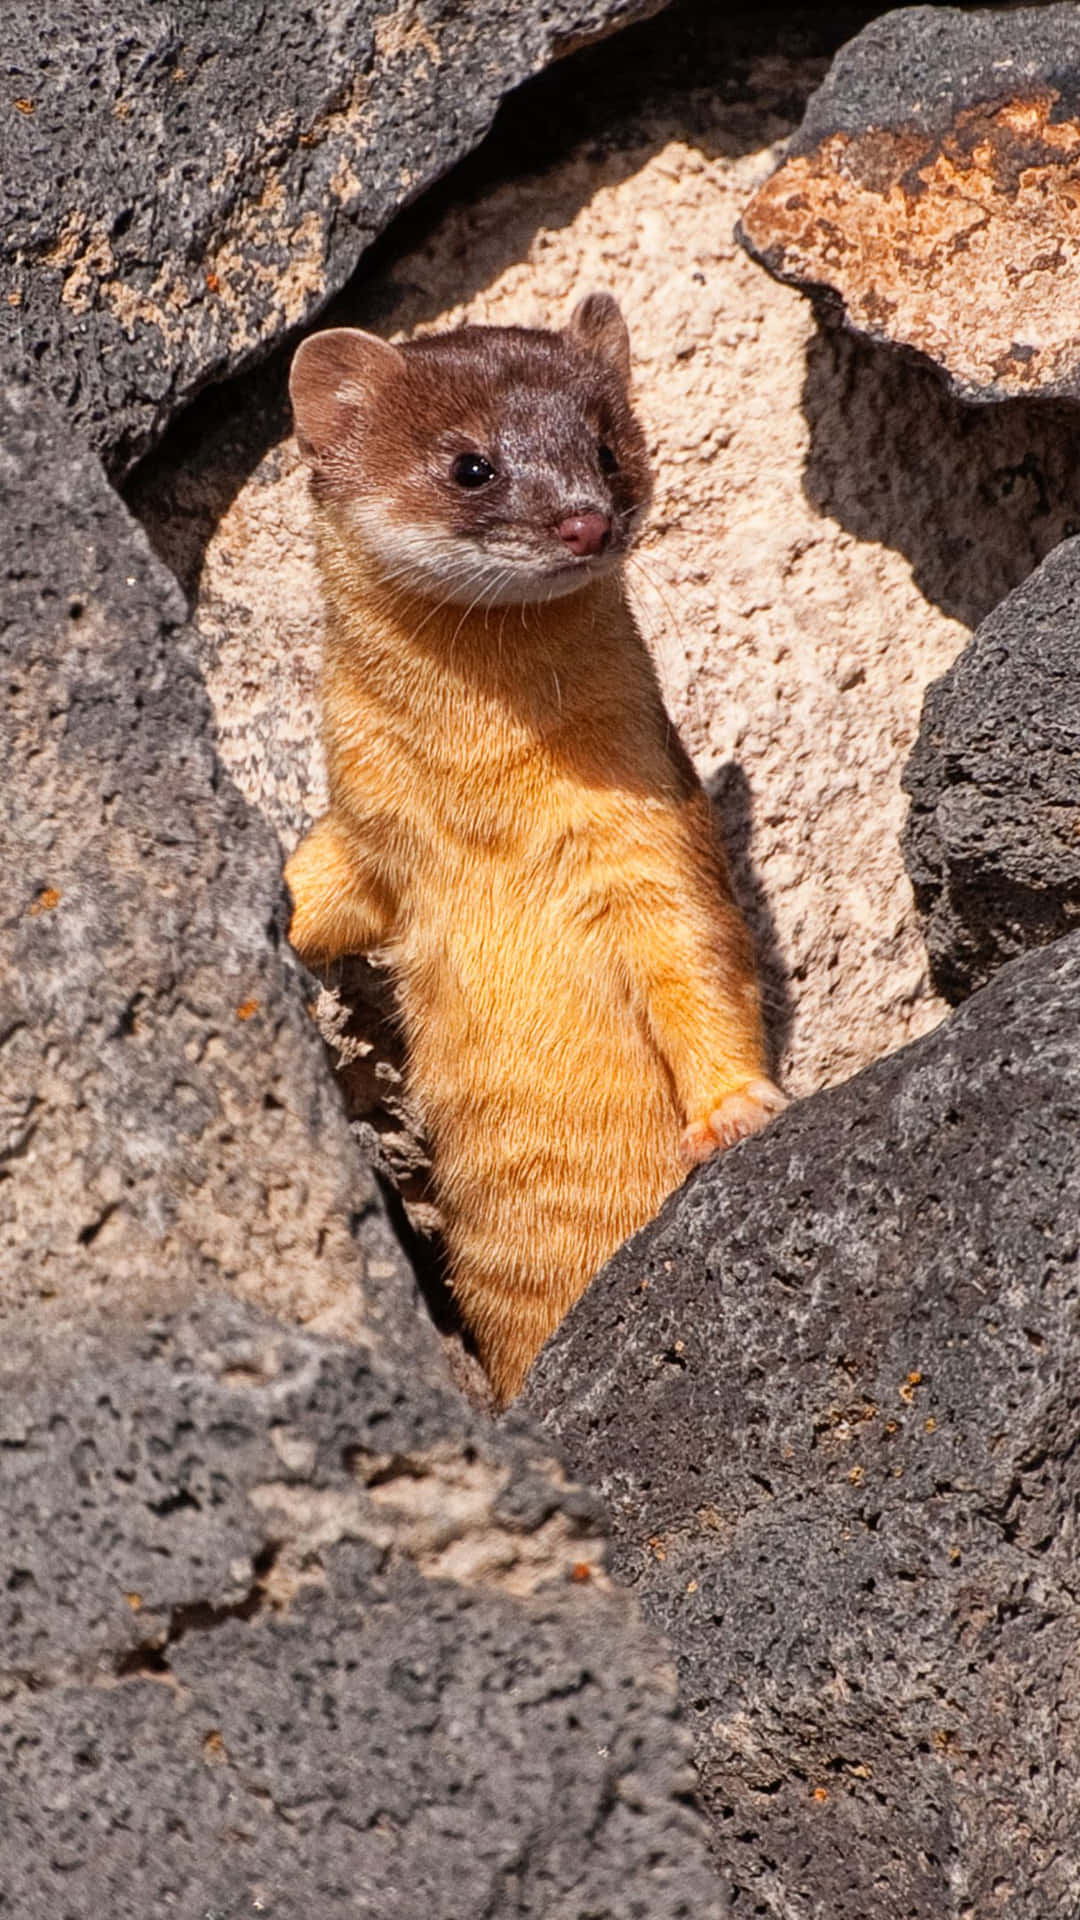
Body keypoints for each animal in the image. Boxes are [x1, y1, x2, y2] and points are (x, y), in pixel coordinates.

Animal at [282, 291, 776, 1405]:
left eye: (607, 446)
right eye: (471, 464)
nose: (586, 518)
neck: (486, 808)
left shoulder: (648, 824)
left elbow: (698, 958)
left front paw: (735, 1113)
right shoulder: (371, 826)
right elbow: (326, 889)